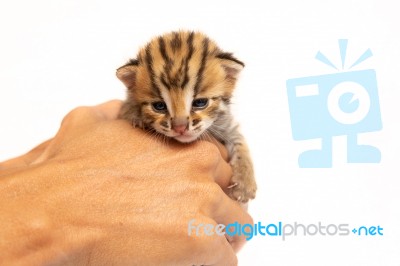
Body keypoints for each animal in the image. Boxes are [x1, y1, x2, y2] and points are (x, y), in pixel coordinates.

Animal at [115, 30, 256, 203]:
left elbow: (240, 142)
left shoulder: (226, 124)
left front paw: (245, 183)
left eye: (200, 102)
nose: (180, 127)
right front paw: (136, 116)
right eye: (159, 106)